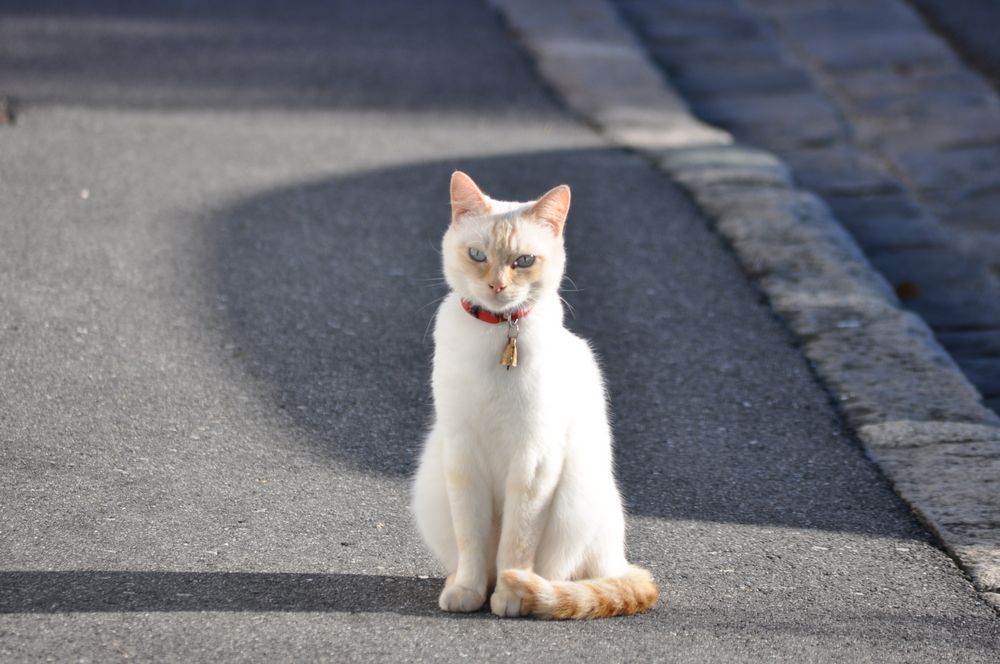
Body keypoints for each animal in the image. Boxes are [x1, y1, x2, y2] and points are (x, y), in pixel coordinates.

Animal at [410, 170, 660, 616]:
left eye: (523, 261)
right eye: (477, 255)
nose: (496, 285)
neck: (497, 334)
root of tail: (619, 558)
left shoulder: (534, 459)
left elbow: (516, 544)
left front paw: (510, 595)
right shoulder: (462, 454)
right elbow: (472, 539)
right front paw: (469, 591)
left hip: (577, 493)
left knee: (569, 578)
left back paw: (529, 593)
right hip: (432, 478)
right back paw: (462, 583)